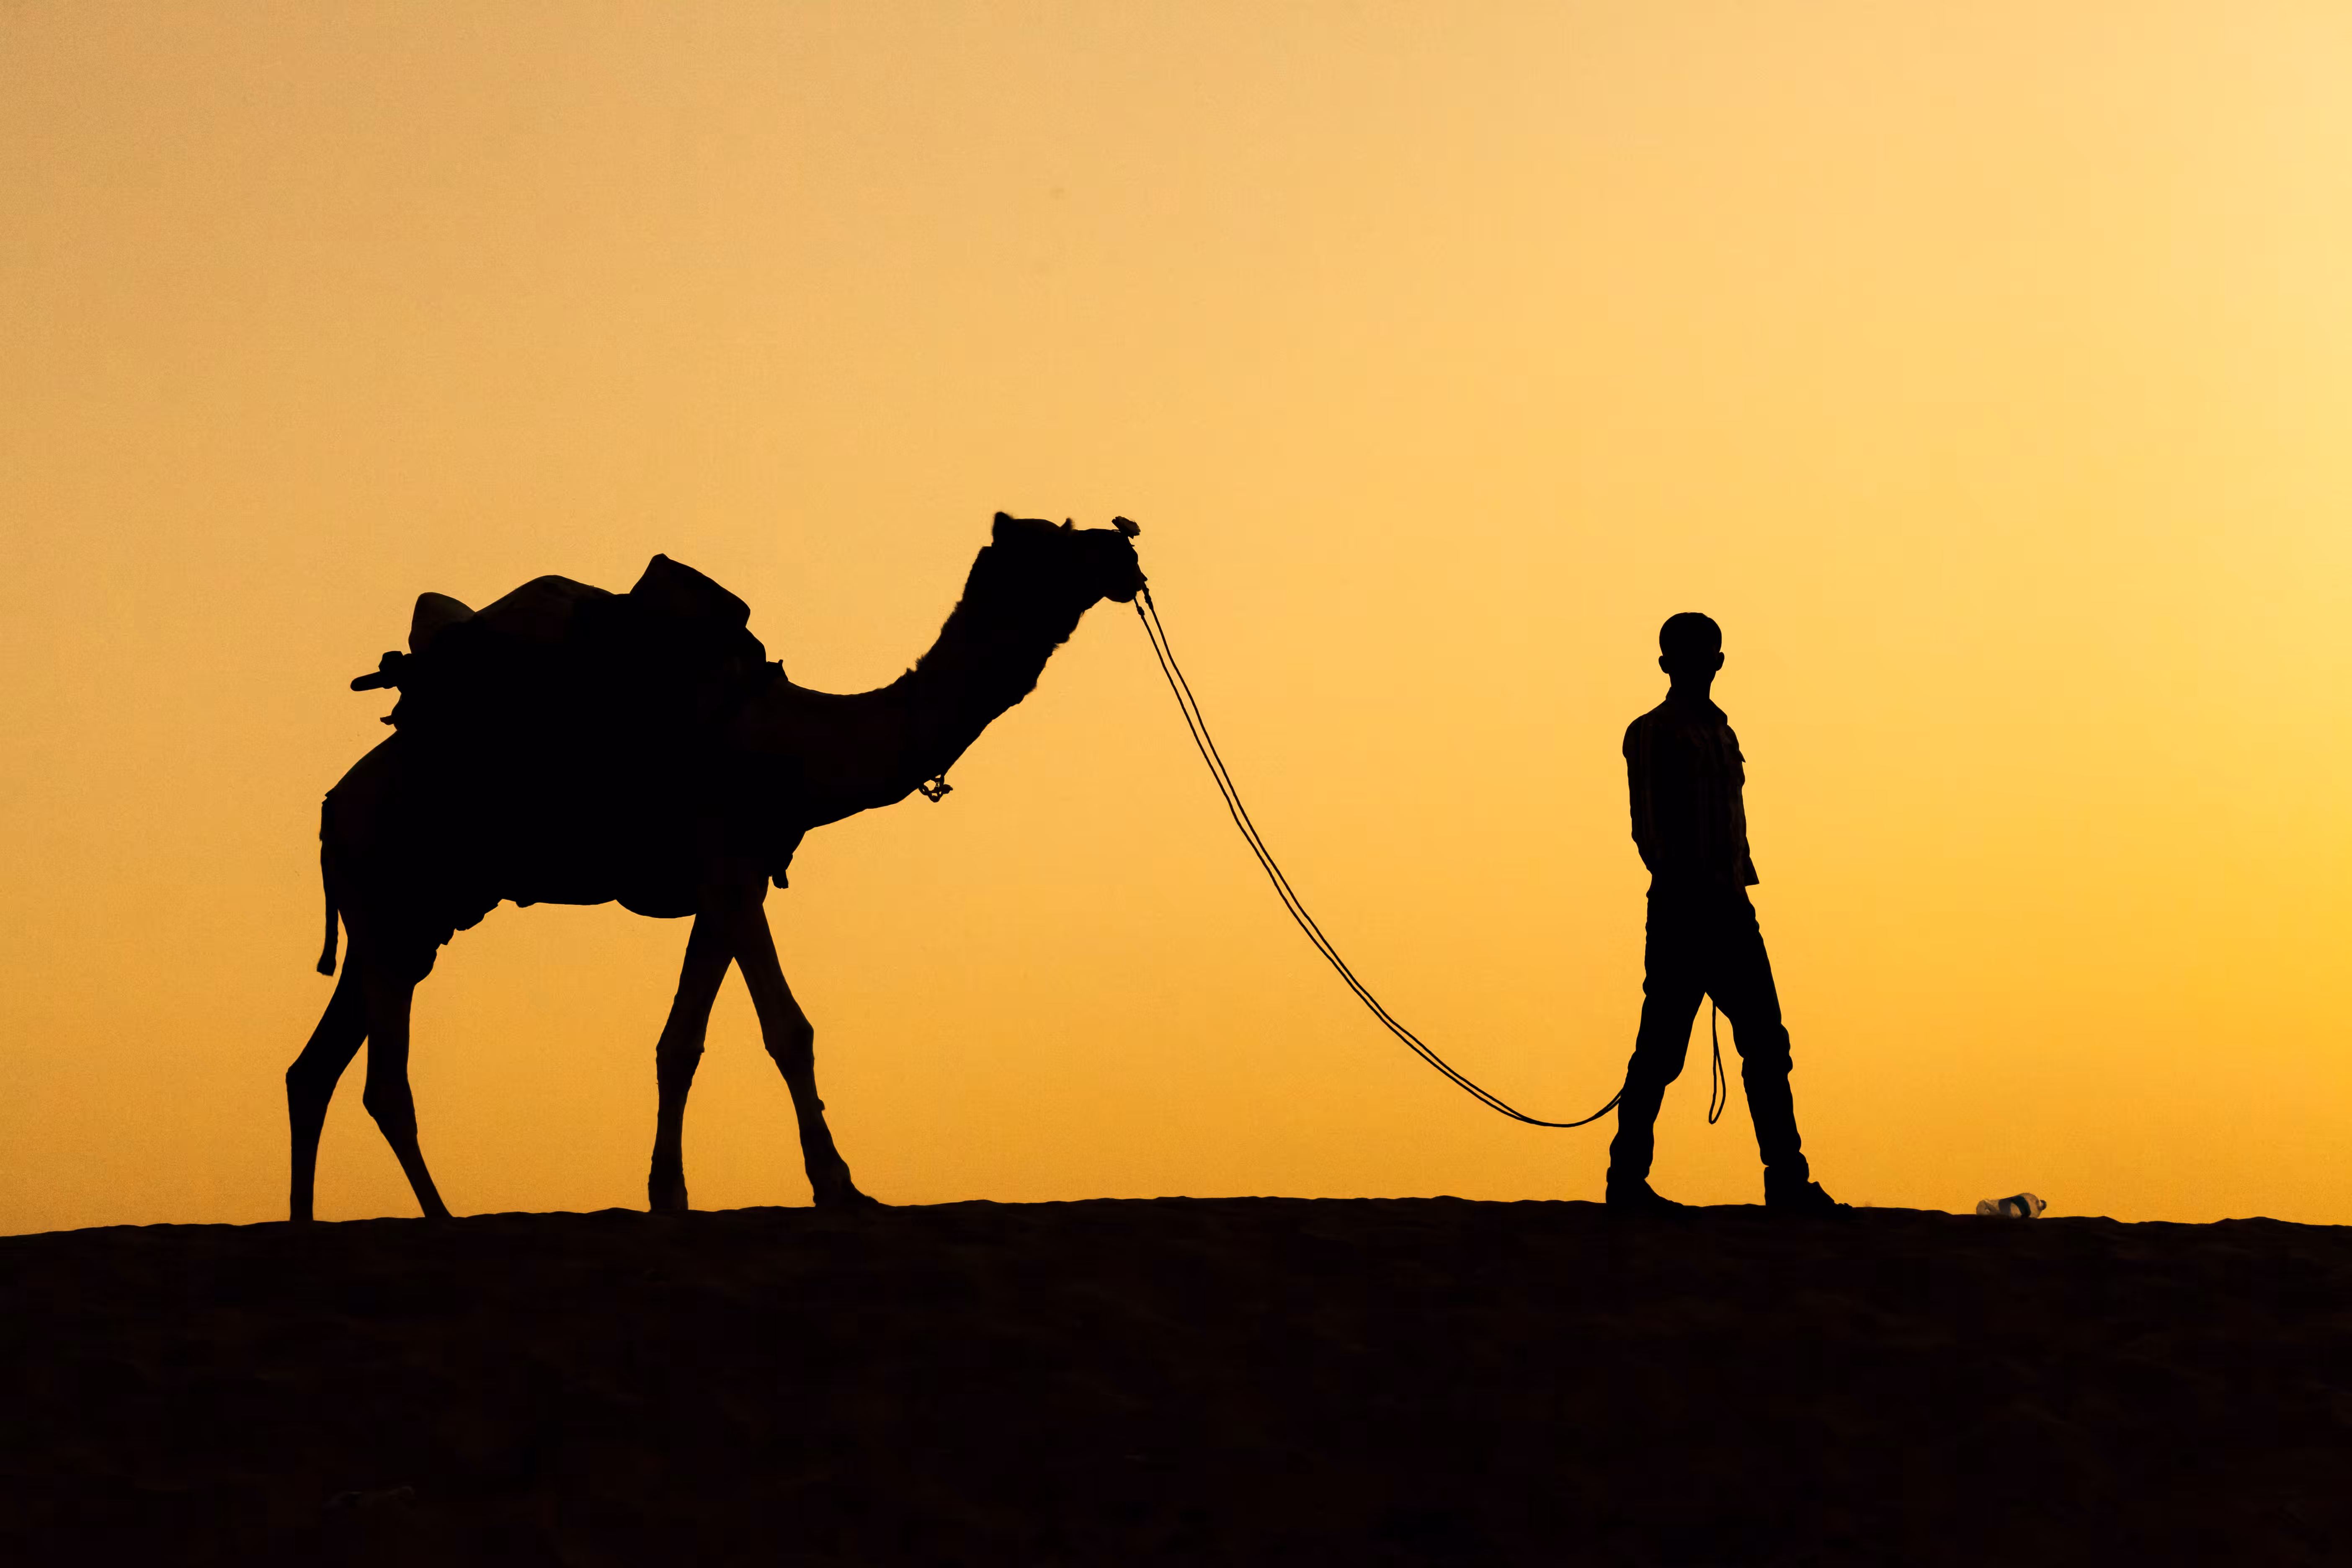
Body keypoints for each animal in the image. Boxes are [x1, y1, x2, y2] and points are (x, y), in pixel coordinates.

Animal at [287, 513, 1146, 1221]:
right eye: (1057, 541)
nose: (1126, 545)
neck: (795, 743)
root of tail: (331, 807)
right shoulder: (730, 866)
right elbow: (761, 1032)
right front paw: (819, 1187)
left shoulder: (733, 882)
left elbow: (707, 1040)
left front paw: (689, 1192)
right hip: (390, 899)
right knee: (382, 1083)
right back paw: (443, 1217)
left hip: (409, 923)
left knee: (314, 1070)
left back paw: (307, 1223)